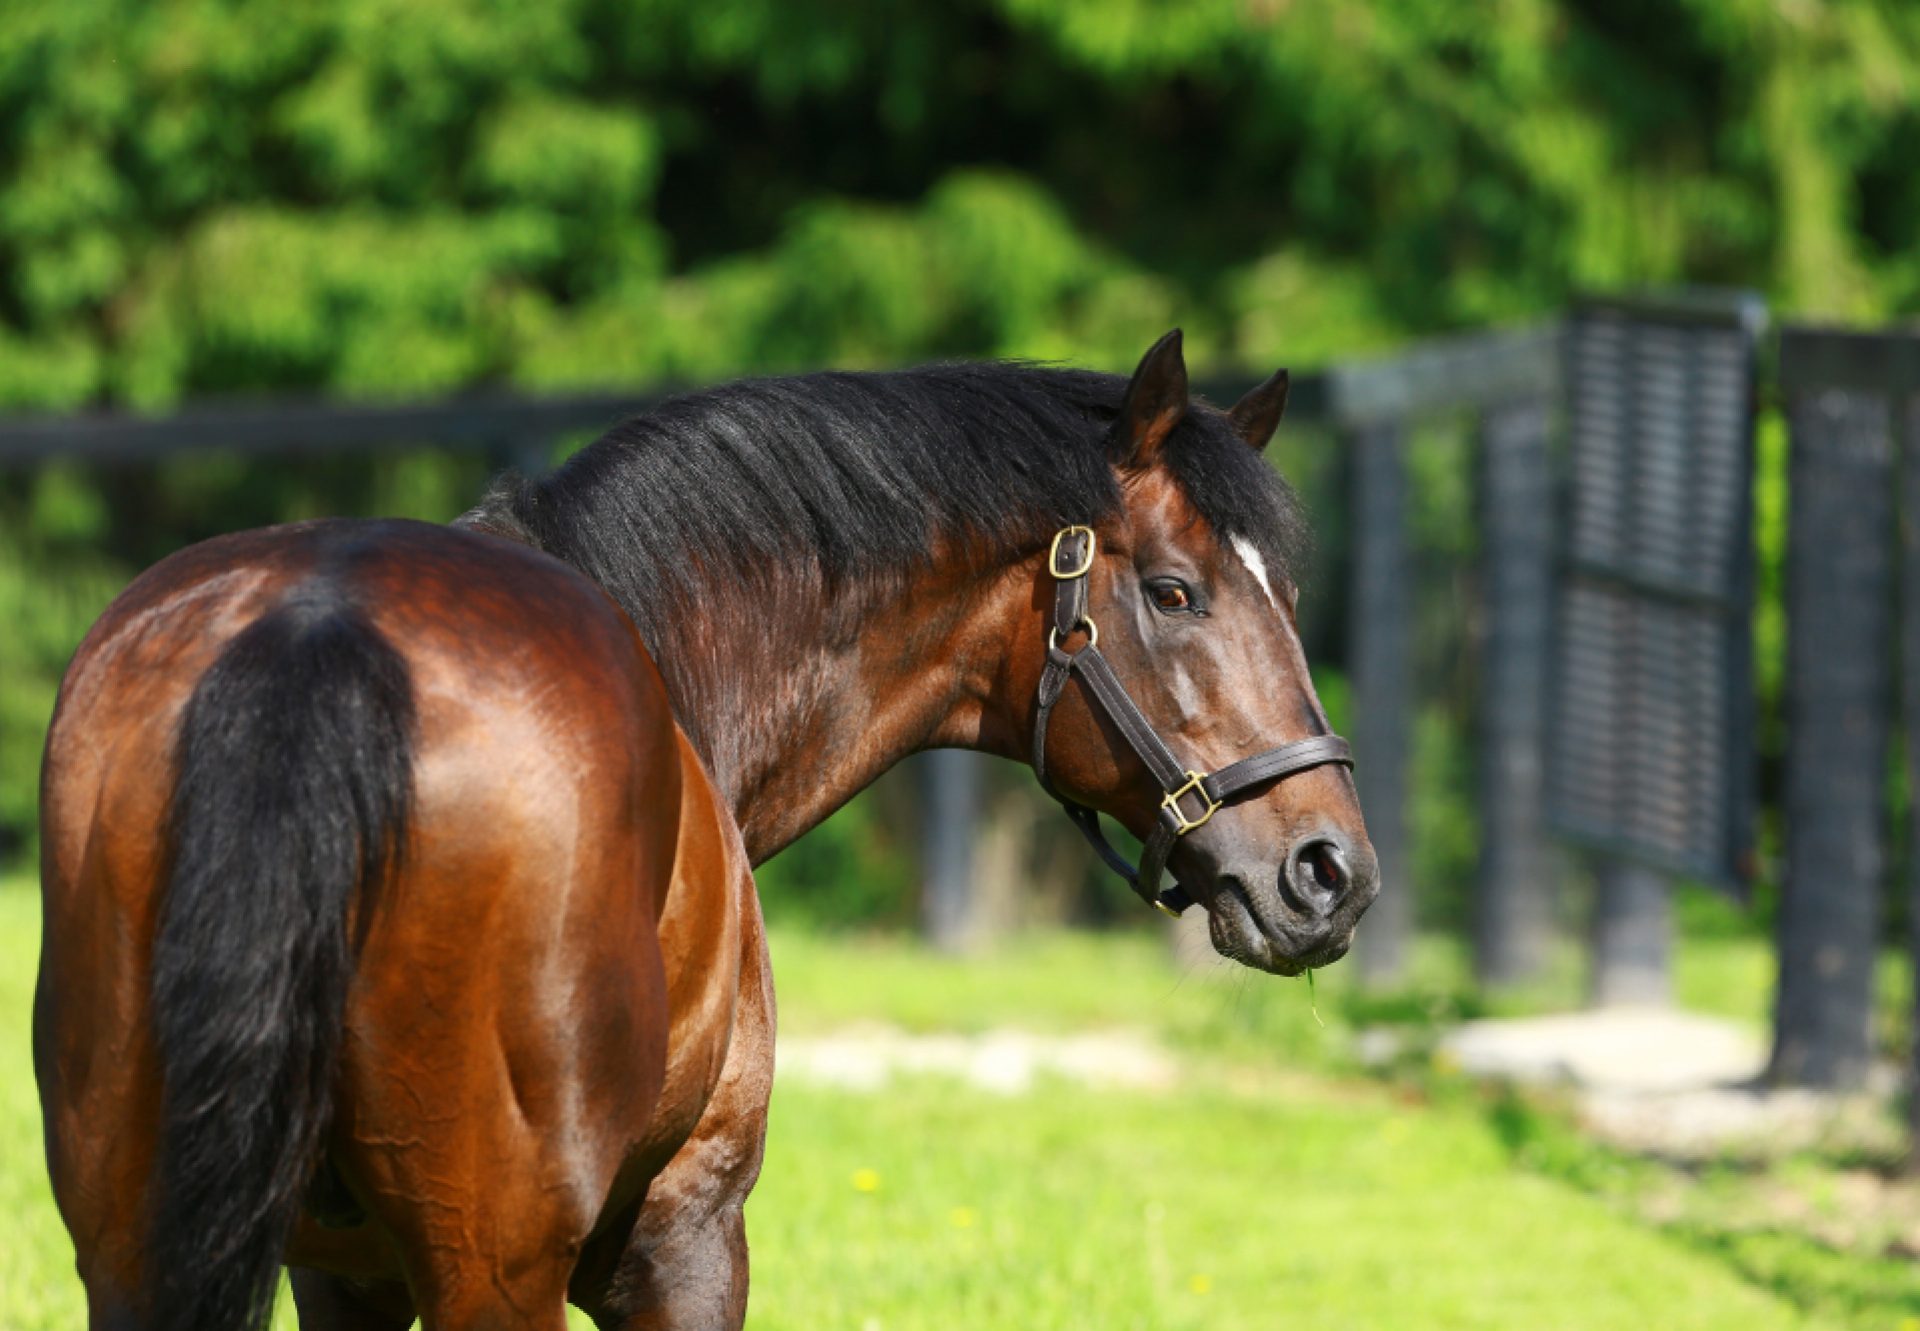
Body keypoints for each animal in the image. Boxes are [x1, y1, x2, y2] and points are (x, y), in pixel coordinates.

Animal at [33, 324, 1382, 1329]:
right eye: (1175, 591)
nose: (1330, 871)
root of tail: (315, 626)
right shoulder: (685, 1230)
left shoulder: (336, 1270)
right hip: (491, 1266)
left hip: (136, 1248)